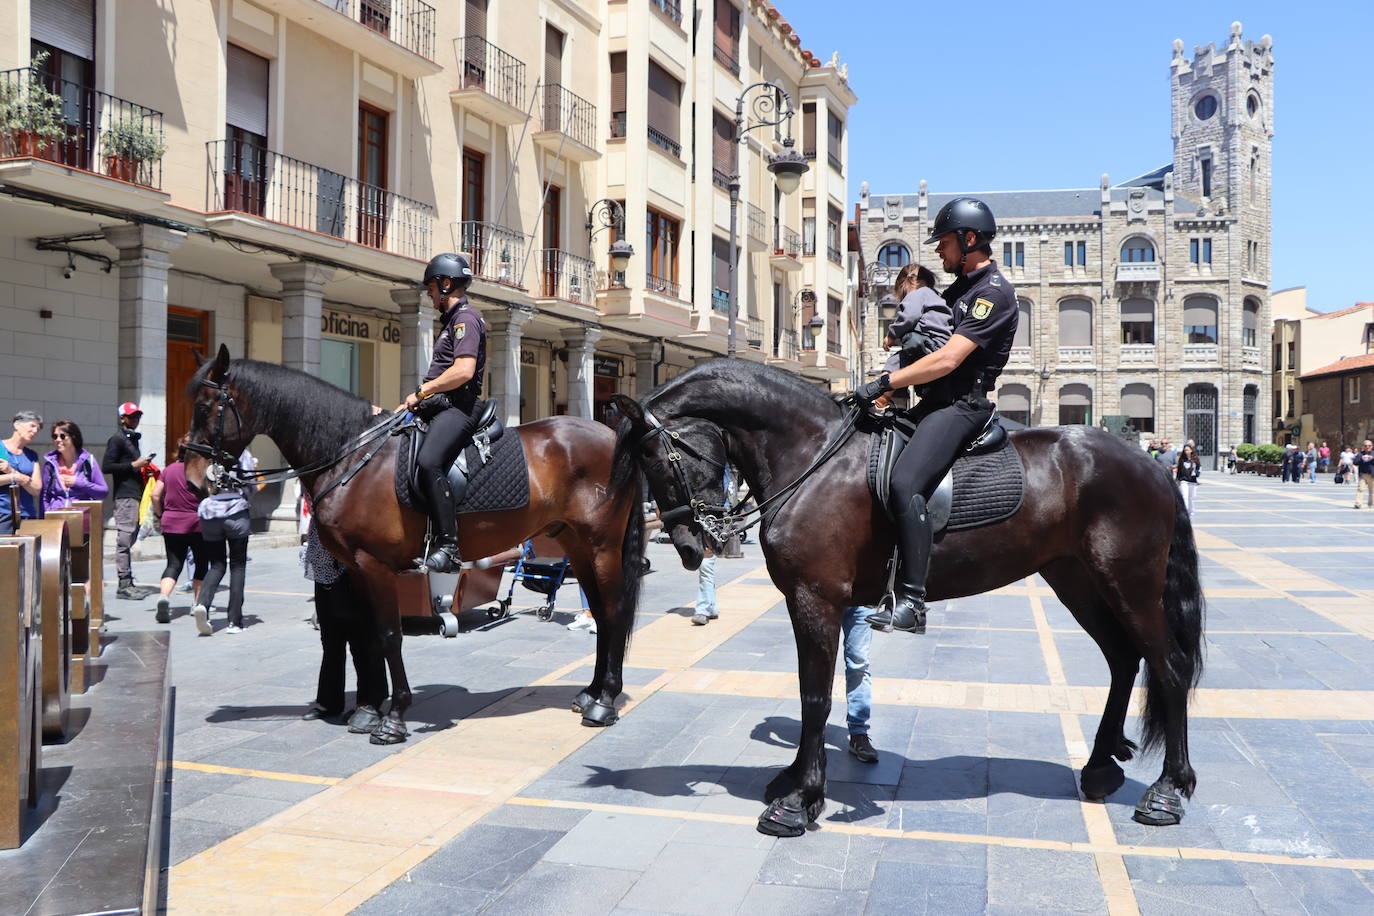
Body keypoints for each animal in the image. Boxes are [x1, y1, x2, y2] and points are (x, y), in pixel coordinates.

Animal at [184, 346, 648, 747]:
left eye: (205, 407)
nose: (191, 476)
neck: (352, 457)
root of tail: (613, 435)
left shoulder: (374, 564)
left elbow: (389, 635)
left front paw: (393, 718)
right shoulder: (356, 568)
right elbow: (367, 635)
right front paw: (369, 710)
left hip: (602, 546)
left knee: (613, 612)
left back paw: (605, 702)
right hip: (575, 544)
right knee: (603, 615)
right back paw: (590, 693)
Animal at [612, 357, 1203, 840]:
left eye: (656, 457)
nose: (689, 545)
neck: (813, 457)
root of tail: (1153, 464)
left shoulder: (815, 598)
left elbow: (815, 696)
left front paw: (799, 802)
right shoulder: (808, 600)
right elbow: (809, 691)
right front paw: (794, 781)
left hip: (1129, 582)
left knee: (1169, 666)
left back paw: (1168, 792)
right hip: (1077, 580)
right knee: (1124, 659)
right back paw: (1101, 767)